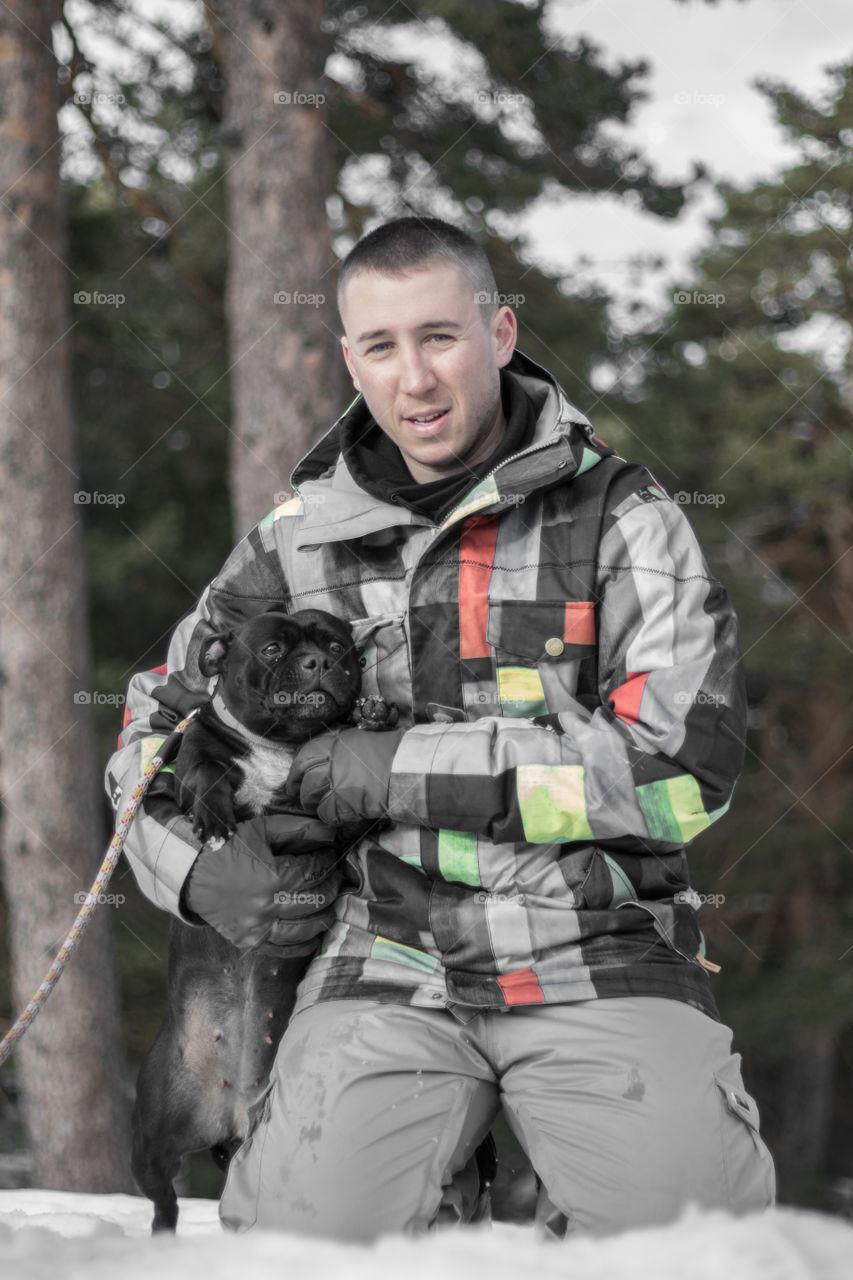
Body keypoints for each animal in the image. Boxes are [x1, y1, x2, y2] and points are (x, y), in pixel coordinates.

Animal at [130, 609, 379, 1228]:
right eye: (271, 649)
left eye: (336, 644)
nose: (317, 661)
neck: (280, 747)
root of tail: (231, 1109)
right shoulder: (196, 753)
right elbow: (205, 776)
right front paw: (216, 823)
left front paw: (372, 715)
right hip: (151, 1136)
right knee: (163, 1198)